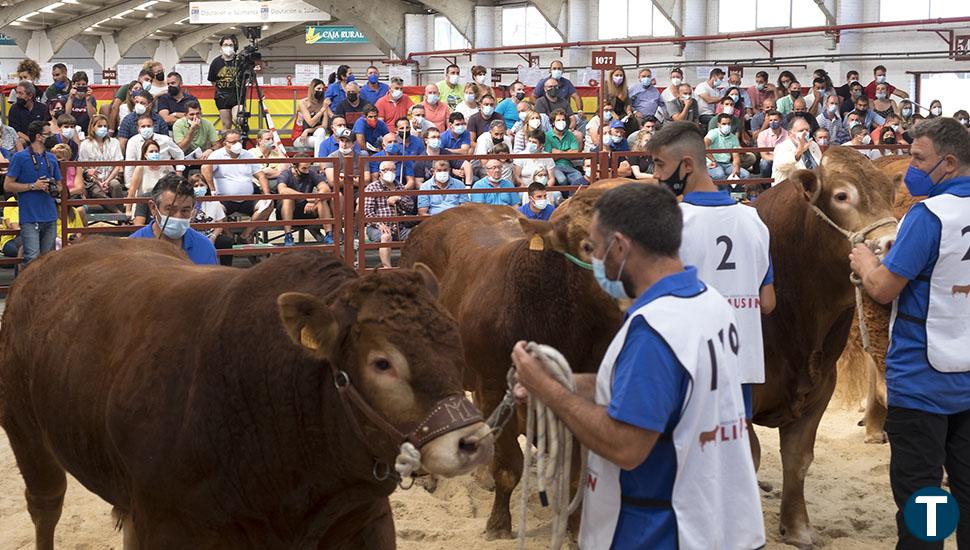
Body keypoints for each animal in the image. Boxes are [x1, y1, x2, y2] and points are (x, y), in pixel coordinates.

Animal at [1, 239, 492, 548]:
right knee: (45, 503)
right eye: (382, 363)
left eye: (454, 338)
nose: (472, 441)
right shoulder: (165, 526)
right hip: (26, 434)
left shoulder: (366, 520)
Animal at [398, 193, 620, 540]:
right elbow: (507, 465)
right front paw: (499, 524)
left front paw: (573, 529)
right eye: (588, 244)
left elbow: (574, 471)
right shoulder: (493, 385)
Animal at [752, 148, 896, 550]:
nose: (892, 243)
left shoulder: (821, 386)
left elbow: (798, 457)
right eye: (842, 196)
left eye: (890, 194)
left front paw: (797, 527)